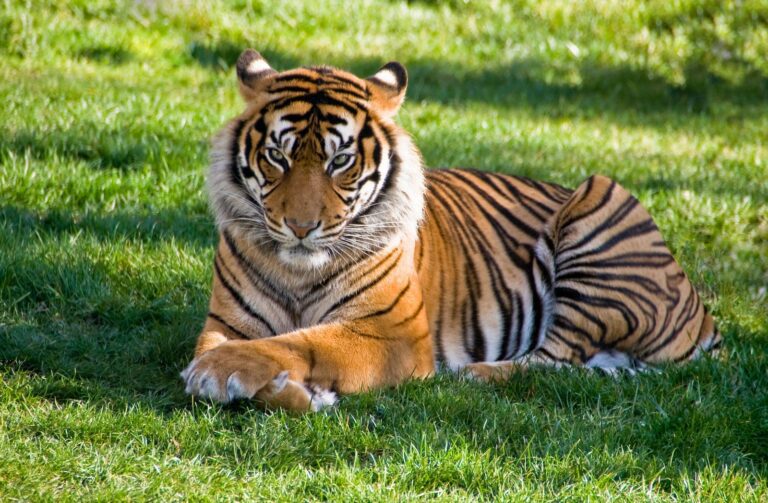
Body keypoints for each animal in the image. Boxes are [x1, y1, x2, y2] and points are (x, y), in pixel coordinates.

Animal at [180, 49, 721, 411]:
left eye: (340, 161)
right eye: (278, 156)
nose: (300, 227)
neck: (298, 271)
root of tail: (704, 315)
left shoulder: (391, 333)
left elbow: (301, 342)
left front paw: (219, 373)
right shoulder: (226, 321)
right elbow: (242, 346)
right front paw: (287, 390)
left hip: (601, 198)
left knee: (555, 359)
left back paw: (473, 375)